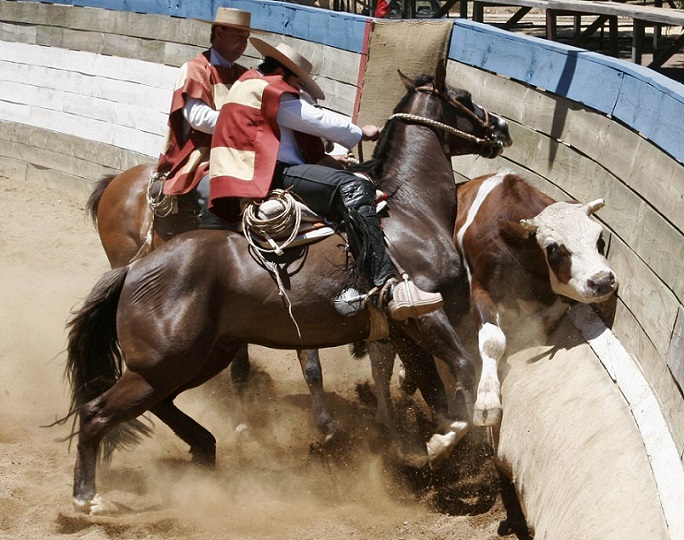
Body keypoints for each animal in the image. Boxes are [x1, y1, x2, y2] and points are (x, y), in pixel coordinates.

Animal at [67, 61, 510, 512]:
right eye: (465, 98)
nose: (502, 127)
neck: (411, 212)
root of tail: (136, 271)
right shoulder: (427, 315)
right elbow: (462, 369)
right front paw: (441, 443)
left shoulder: (403, 331)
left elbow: (432, 387)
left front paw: (427, 452)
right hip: (165, 361)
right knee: (98, 412)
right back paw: (90, 498)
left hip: (199, 357)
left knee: (163, 402)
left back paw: (205, 445)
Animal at [454, 171, 620, 428]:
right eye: (552, 248)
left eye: (599, 238)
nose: (602, 280)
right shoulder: (479, 284)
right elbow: (492, 340)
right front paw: (487, 399)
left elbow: (552, 312)